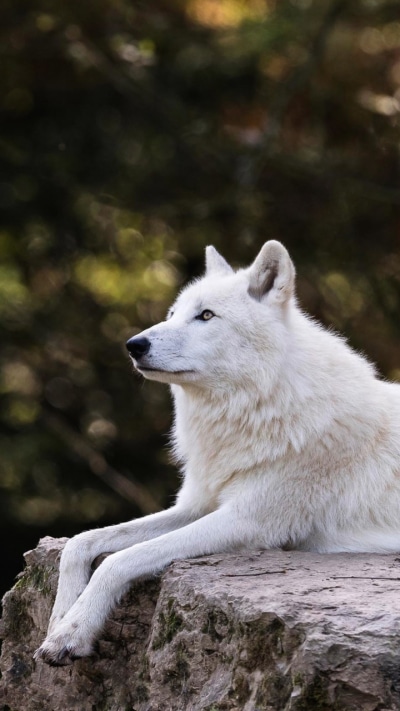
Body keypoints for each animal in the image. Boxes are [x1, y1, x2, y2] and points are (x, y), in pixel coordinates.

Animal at [36, 240, 400, 666]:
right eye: (172, 314)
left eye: (206, 315)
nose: (134, 345)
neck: (259, 407)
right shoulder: (197, 506)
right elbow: (80, 542)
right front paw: (59, 619)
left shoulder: (246, 522)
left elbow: (118, 560)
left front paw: (74, 631)